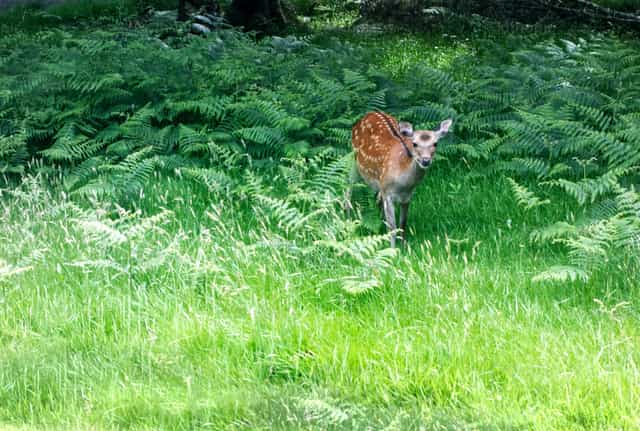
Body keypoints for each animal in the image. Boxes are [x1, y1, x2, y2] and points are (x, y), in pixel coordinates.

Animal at [346, 111, 452, 248]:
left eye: (435, 143)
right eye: (414, 144)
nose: (425, 160)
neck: (404, 184)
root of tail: (369, 113)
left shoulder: (407, 196)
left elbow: (402, 223)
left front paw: (403, 246)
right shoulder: (388, 193)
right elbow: (393, 226)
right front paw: (393, 248)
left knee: (377, 199)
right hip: (353, 161)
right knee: (348, 188)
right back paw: (348, 219)